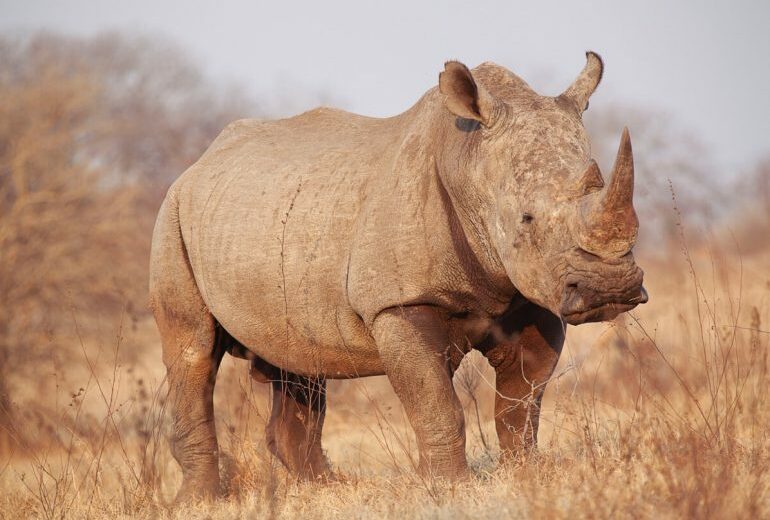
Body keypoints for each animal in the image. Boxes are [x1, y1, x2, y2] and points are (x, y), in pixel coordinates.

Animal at [149, 52, 647, 501]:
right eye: (526, 219)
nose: (610, 289)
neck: (467, 162)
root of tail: (198, 164)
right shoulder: (399, 302)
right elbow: (438, 405)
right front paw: (450, 489)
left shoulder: (534, 300)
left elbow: (521, 403)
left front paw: (527, 476)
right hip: (173, 217)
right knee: (193, 349)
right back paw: (200, 502)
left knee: (298, 365)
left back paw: (330, 491)